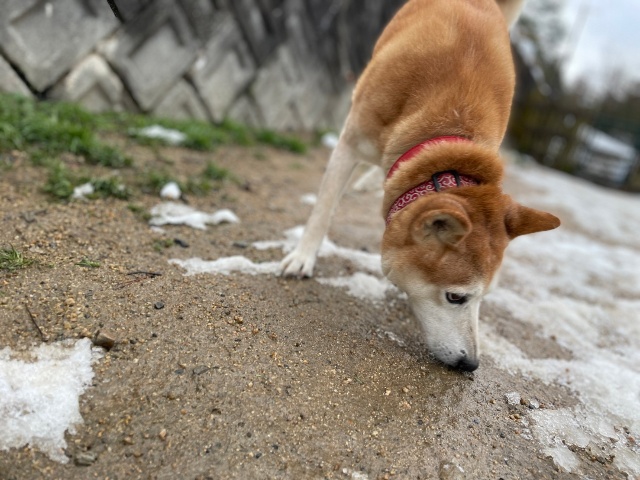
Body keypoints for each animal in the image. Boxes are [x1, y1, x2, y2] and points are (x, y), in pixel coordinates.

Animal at [281, 0, 560, 371]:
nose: (472, 365)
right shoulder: (349, 143)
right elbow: (324, 208)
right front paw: (302, 257)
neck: (446, 134)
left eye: (484, 297)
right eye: (456, 297)